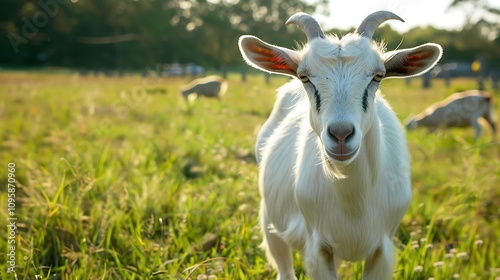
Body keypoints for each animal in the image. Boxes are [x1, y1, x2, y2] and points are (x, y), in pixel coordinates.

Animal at [238, 9, 442, 278]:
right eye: (304, 77)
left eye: (378, 76)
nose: (341, 135)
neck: (353, 204)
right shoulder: (318, 249)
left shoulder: (382, 250)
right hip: (270, 221)